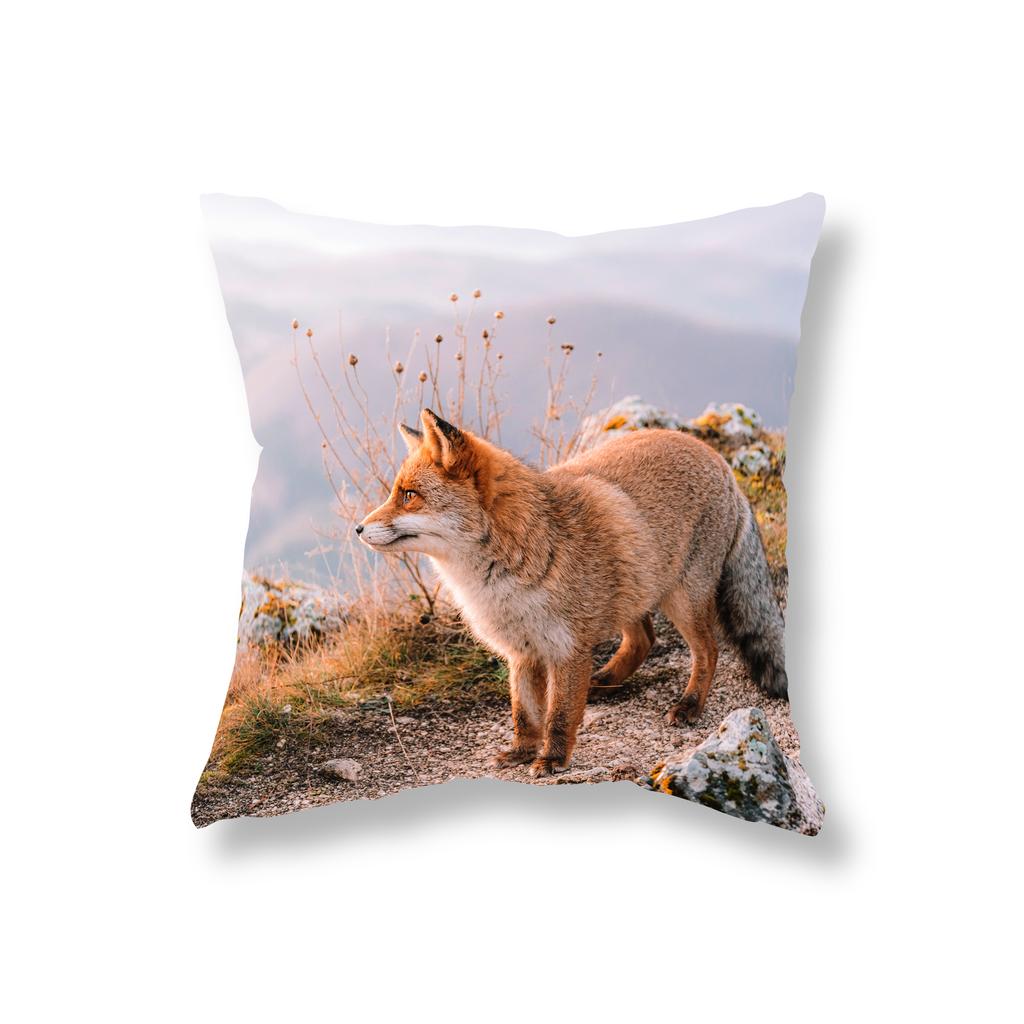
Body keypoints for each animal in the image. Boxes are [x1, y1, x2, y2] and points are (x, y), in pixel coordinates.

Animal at [357, 408, 787, 778]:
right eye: (396, 493)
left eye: (408, 495)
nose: (358, 529)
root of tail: (718, 459)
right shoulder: (523, 651)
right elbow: (525, 714)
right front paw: (522, 752)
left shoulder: (568, 648)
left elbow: (560, 715)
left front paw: (552, 759)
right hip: (634, 590)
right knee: (644, 640)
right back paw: (606, 681)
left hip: (681, 598)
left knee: (709, 651)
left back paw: (690, 704)